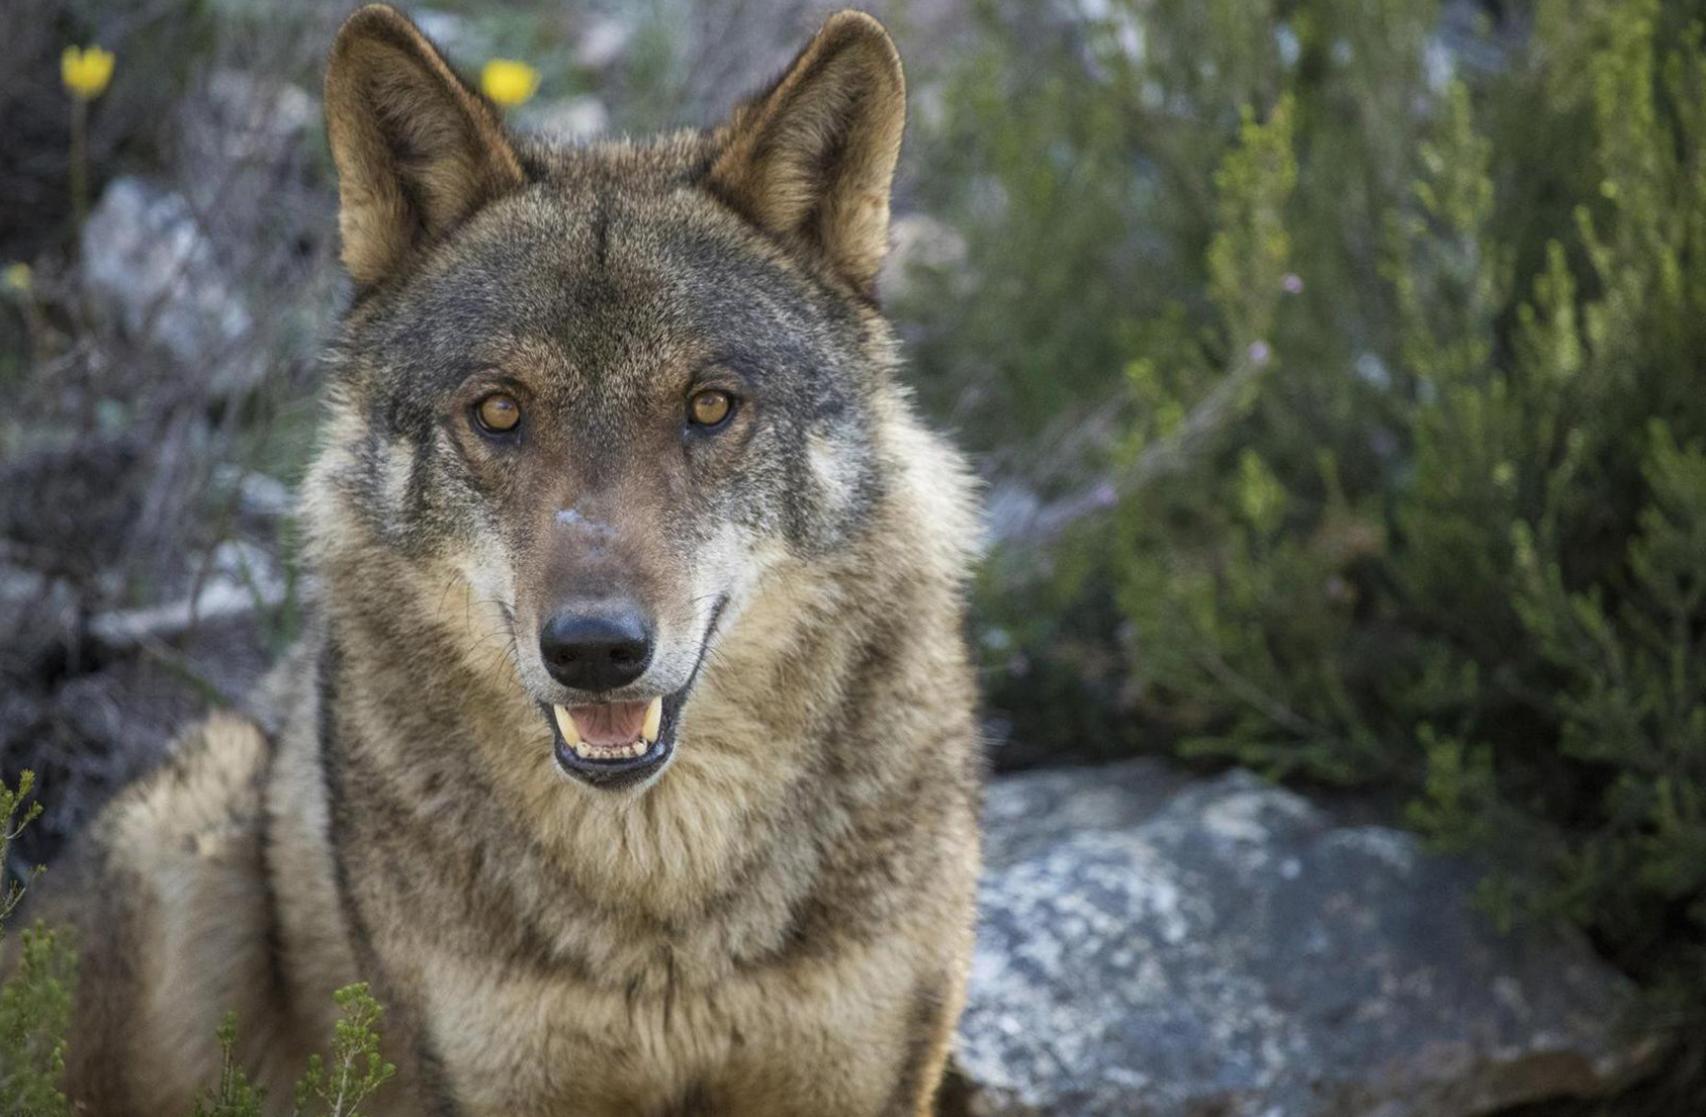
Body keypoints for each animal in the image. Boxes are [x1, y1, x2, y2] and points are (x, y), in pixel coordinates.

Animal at [33, 4, 982, 1111]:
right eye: (497, 411)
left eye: (710, 406)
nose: (595, 650)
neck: (660, 901)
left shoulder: (854, 1074)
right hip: (181, 840)